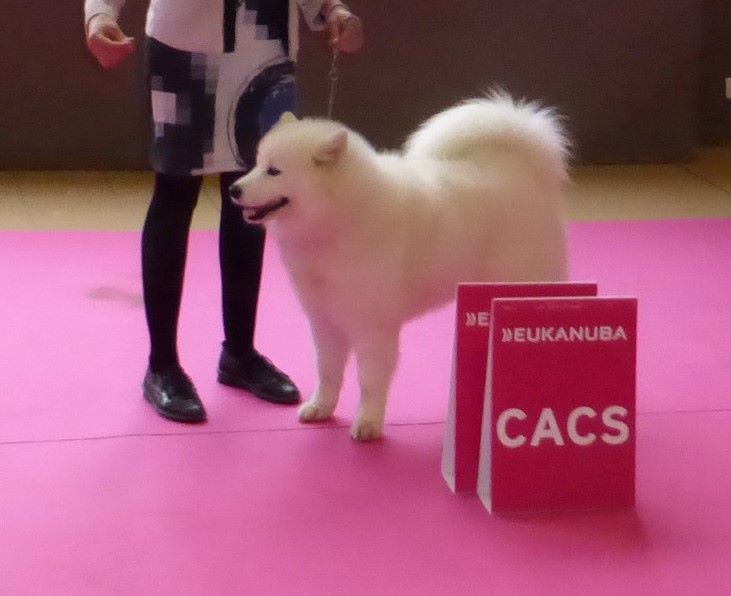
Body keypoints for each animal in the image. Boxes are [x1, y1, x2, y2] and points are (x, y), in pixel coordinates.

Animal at [230, 92, 570, 441]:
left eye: (274, 171)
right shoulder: (325, 323)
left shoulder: (373, 329)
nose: (233, 189)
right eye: (256, 163)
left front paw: (367, 423)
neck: (342, 219)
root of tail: (520, 171)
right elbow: (328, 372)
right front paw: (321, 407)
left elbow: (369, 380)